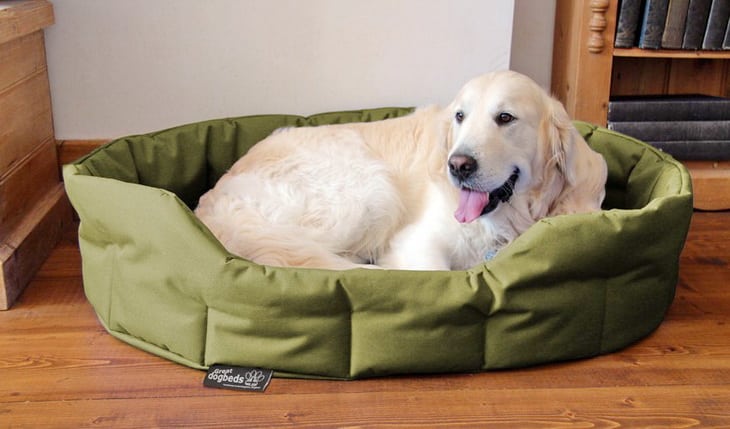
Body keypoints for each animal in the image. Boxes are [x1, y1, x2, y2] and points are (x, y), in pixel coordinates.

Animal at [195, 71, 608, 270]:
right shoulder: (416, 241)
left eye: (505, 118)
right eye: (460, 116)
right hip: (367, 190)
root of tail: (211, 202)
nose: (458, 166)